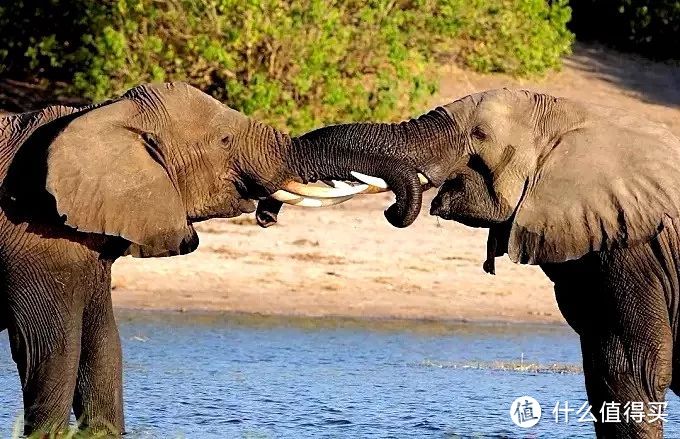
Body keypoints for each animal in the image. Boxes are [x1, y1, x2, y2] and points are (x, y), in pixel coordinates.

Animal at [0, 81, 424, 436]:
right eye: (224, 139)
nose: (266, 215)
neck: (104, 114)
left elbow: (102, 347)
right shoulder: (33, 237)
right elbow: (53, 349)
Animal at [258, 87, 680, 438]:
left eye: (479, 135)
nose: (266, 216)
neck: (581, 118)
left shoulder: (636, 248)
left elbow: (631, 372)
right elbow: (604, 373)